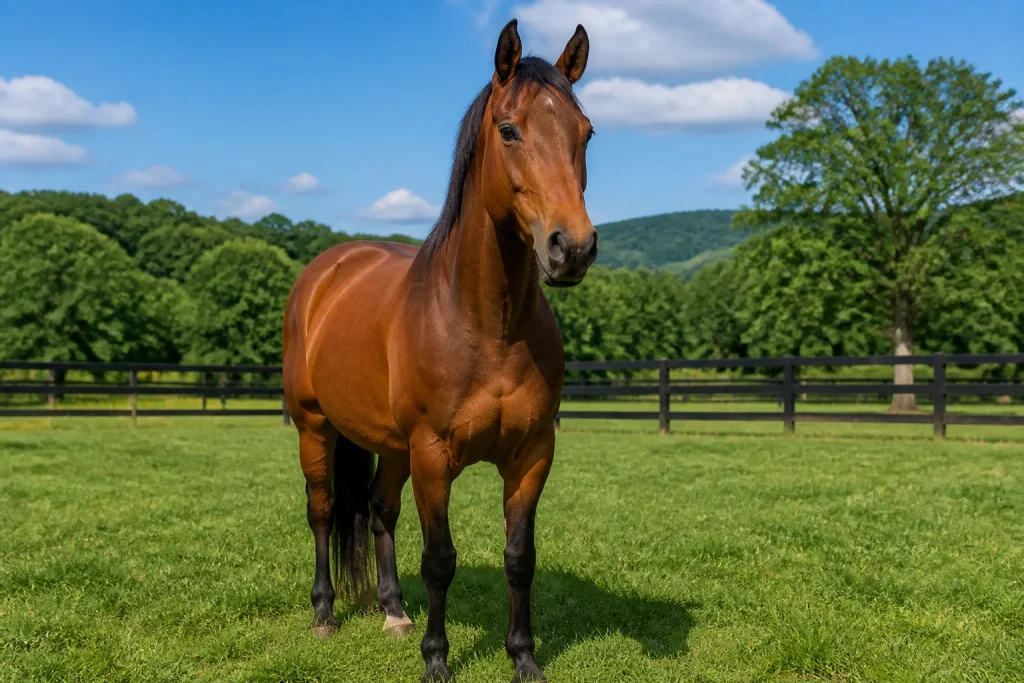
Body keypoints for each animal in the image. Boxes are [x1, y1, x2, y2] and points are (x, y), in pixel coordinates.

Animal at [282, 18, 596, 682]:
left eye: (586, 133)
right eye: (509, 129)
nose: (572, 248)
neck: (485, 326)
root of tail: (327, 270)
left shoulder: (532, 456)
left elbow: (519, 557)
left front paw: (524, 658)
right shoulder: (432, 455)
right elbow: (440, 560)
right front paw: (437, 661)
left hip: (391, 445)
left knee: (378, 510)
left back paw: (394, 612)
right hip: (315, 427)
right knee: (322, 510)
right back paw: (324, 614)